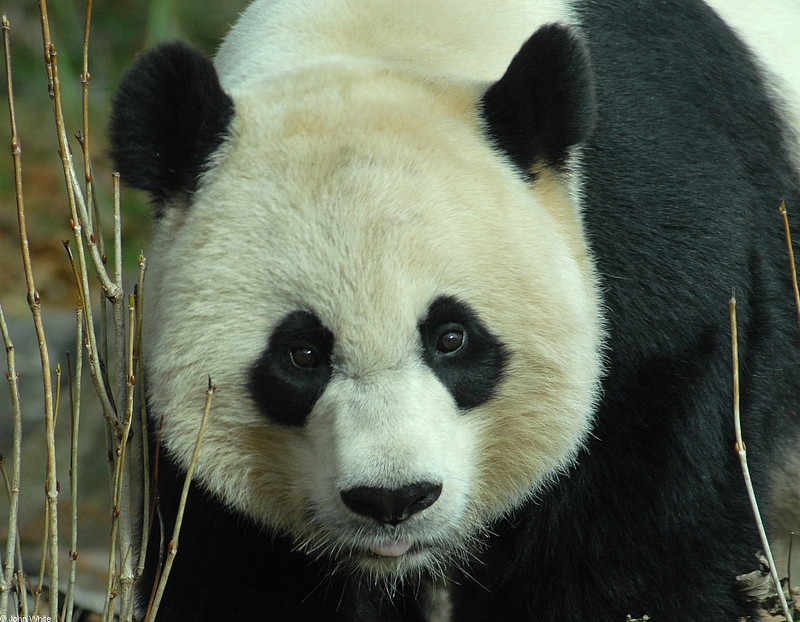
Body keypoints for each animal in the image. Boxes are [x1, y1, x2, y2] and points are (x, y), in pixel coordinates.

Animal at [111, 1, 800, 622]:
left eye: (451, 338)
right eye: (301, 353)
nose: (393, 499)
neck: (386, 39)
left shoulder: (663, 274)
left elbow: (644, 555)